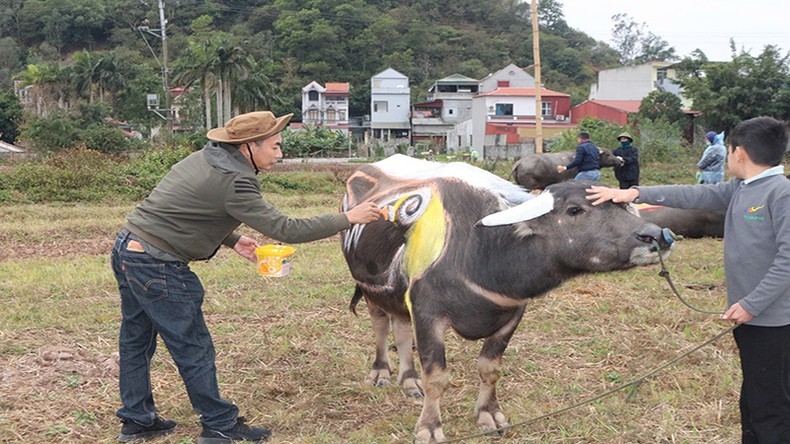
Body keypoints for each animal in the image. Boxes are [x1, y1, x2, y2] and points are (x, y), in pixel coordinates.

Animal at [340, 154, 676, 442]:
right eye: (575, 210)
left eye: (623, 207)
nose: (656, 236)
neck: (480, 251)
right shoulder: (427, 313)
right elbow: (437, 376)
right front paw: (429, 429)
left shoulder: (513, 314)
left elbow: (490, 369)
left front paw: (490, 416)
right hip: (369, 288)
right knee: (381, 326)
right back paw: (381, 372)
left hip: (398, 297)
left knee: (400, 328)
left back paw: (410, 381)